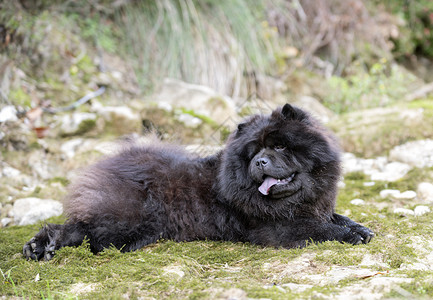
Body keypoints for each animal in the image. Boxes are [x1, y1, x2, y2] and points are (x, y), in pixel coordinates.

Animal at [23, 103, 372, 260]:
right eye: (254, 152)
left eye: (281, 146)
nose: (260, 161)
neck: (299, 200)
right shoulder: (278, 228)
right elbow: (321, 229)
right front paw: (350, 235)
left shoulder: (317, 207)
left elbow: (336, 218)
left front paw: (360, 228)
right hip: (130, 219)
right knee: (89, 234)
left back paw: (40, 247)